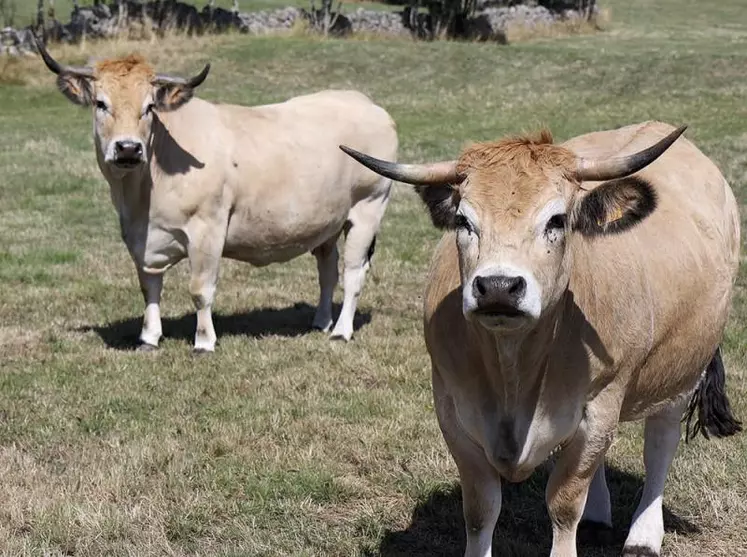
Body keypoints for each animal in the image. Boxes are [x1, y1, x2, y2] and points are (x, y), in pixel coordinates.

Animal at [344, 121, 744, 556]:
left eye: (556, 221)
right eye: (464, 221)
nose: (498, 287)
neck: (513, 373)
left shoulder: (600, 405)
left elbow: (564, 504)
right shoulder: (452, 410)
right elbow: (481, 509)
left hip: (682, 372)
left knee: (660, 443)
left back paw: (643, 536)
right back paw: (597, 519)